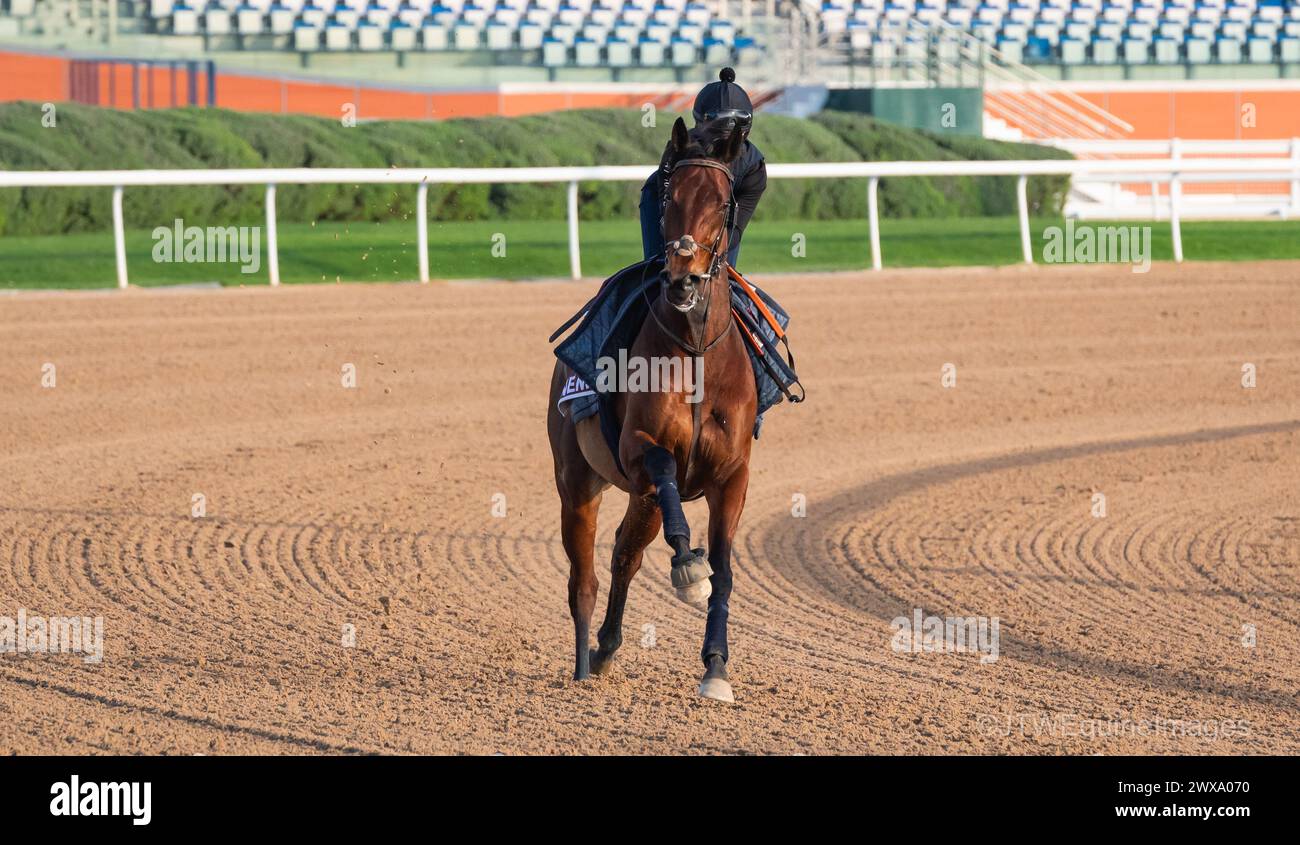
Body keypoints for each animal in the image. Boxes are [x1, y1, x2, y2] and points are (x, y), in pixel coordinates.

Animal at [546, 116, 754, 696]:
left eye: (723, 200)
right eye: (668, 194)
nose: (681, 279)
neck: (697, 351)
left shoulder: (733, 473)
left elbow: (724, 567)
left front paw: (716, 666)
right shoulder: (641, 451)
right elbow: (662, 464)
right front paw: (688, 566)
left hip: (639, 501)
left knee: (625, 554)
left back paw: (607, 647)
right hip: (576, 480)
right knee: (585, 579)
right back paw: (583, 665)